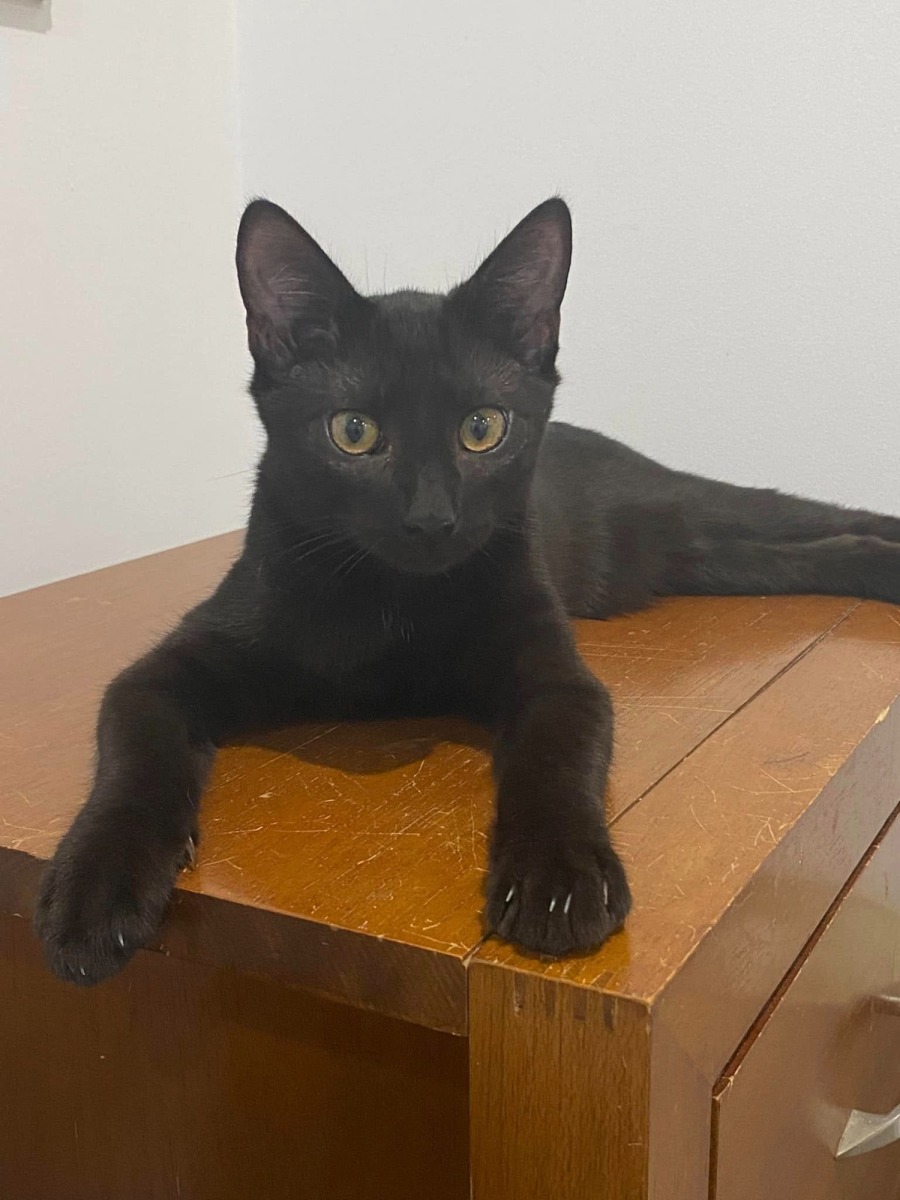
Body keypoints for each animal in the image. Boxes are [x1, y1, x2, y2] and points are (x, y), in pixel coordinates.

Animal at [36, 197, 900, 986]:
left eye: (483, 428)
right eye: (353, 432)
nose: (431, 518)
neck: (391, 604)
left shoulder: (554, 673)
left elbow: (556, 756)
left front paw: (558, 879)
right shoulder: (168, 666)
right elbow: (134, 750)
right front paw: (94, 888)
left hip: (691, 512)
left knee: (814, 514)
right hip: (696, 558)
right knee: (788, 552)